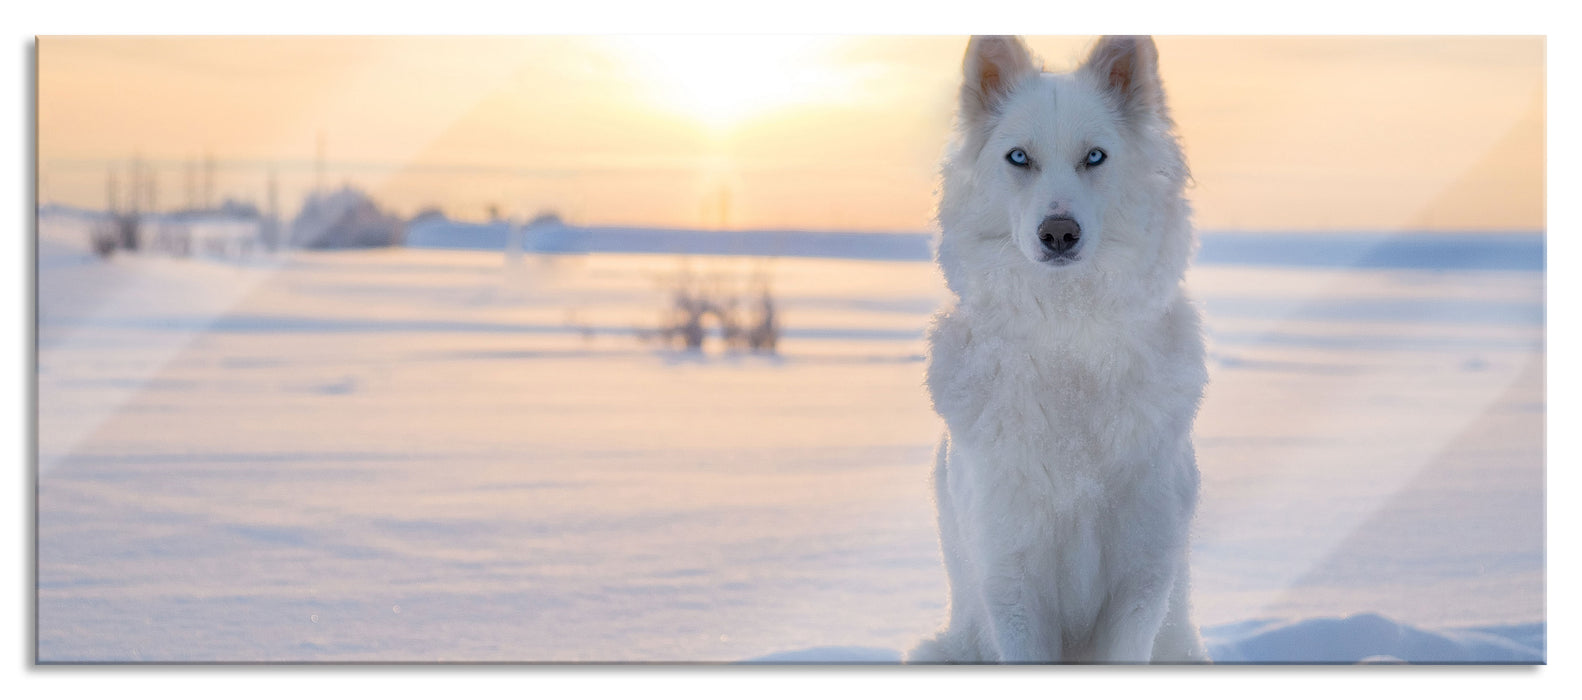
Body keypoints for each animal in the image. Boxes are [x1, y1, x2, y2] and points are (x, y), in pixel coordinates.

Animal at [906, 35, 1209, 664]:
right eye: (1019, 157)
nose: (1059, 234)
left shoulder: (1142, 576)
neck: (1069, 338)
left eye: (1095, 157)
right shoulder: (1012, 578)